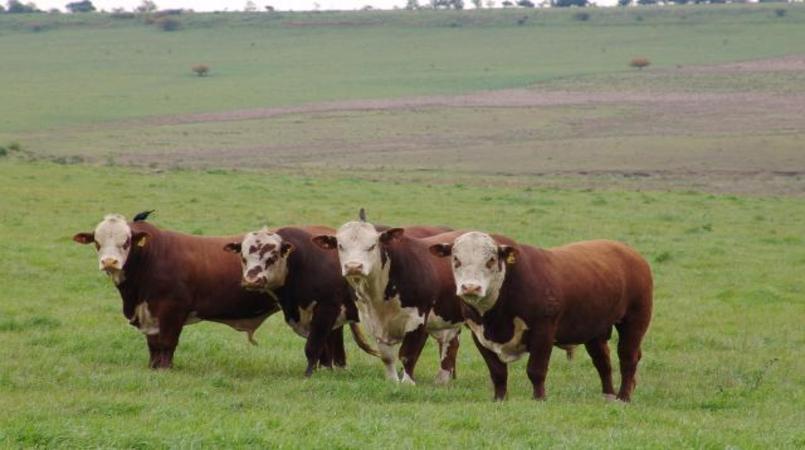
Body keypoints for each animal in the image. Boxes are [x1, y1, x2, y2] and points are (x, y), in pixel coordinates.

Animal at [74, 214, 282, 370]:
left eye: (126, 242)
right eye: (97, 242)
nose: (109, 261)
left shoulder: (172, 309)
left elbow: (167, 342)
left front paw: (165, 369)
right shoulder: (149, 312)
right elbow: (153, 344)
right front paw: (153, 367)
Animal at [223, 225, 380, 376]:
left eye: (272, 257)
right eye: (243, 257)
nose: (251, 280)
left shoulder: (327, 309)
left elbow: (313, 346)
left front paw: (308, 373)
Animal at [314, 216, 464, 384]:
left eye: (372, 246)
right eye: (340, 246)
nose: (353, 266)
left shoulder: (417, 319)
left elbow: (408, 354)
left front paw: (407, 383)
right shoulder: (373, 322)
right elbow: (387, 356)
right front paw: (392, 381)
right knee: (450, 343)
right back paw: (441, 381)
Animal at [430, 232, 652, 400]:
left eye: (491, 260)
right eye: (456, 259)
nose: (470, 287)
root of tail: (629, 252)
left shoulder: (543, 331)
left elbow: (536, 370)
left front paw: (539, 398)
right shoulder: (479, 335)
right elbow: (498, 372)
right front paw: (499, 399)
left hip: (635, 321)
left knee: (628, 358)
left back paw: (623, 397)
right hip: (595, 329)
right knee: (602, 361)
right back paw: (608, 395)